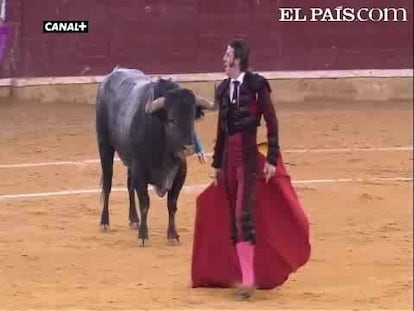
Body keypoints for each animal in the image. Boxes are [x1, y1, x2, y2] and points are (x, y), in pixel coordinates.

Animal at [96, 67, 215, 245]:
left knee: (129, 185)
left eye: (192, 119)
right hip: (105, 146)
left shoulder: (180, 173)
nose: (188, 148)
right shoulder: (140, 170)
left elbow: (172, 204)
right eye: (171, 120)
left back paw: (134, 219)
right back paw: (104, 222)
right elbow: (145, 202)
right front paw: (143, 236)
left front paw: (173, 235)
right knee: (108, 184)